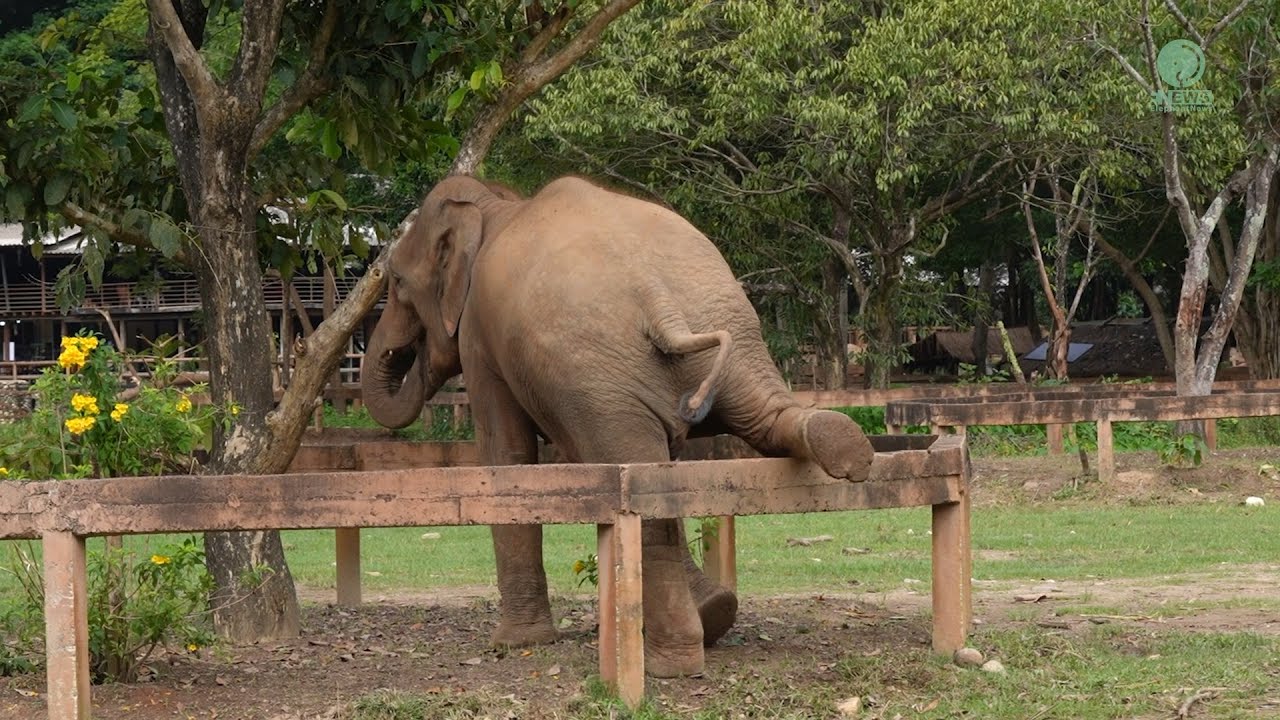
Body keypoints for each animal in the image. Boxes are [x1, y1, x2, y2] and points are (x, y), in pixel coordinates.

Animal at [360, 174, 874, 677]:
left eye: (398, 281)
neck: (495, 203)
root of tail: (655, 296)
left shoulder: (479, 341)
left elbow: (506, 454)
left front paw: (513, 644)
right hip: (722, 332)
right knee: (713, 446)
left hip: (594, 379)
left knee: (639, 485)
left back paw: (671, 663)